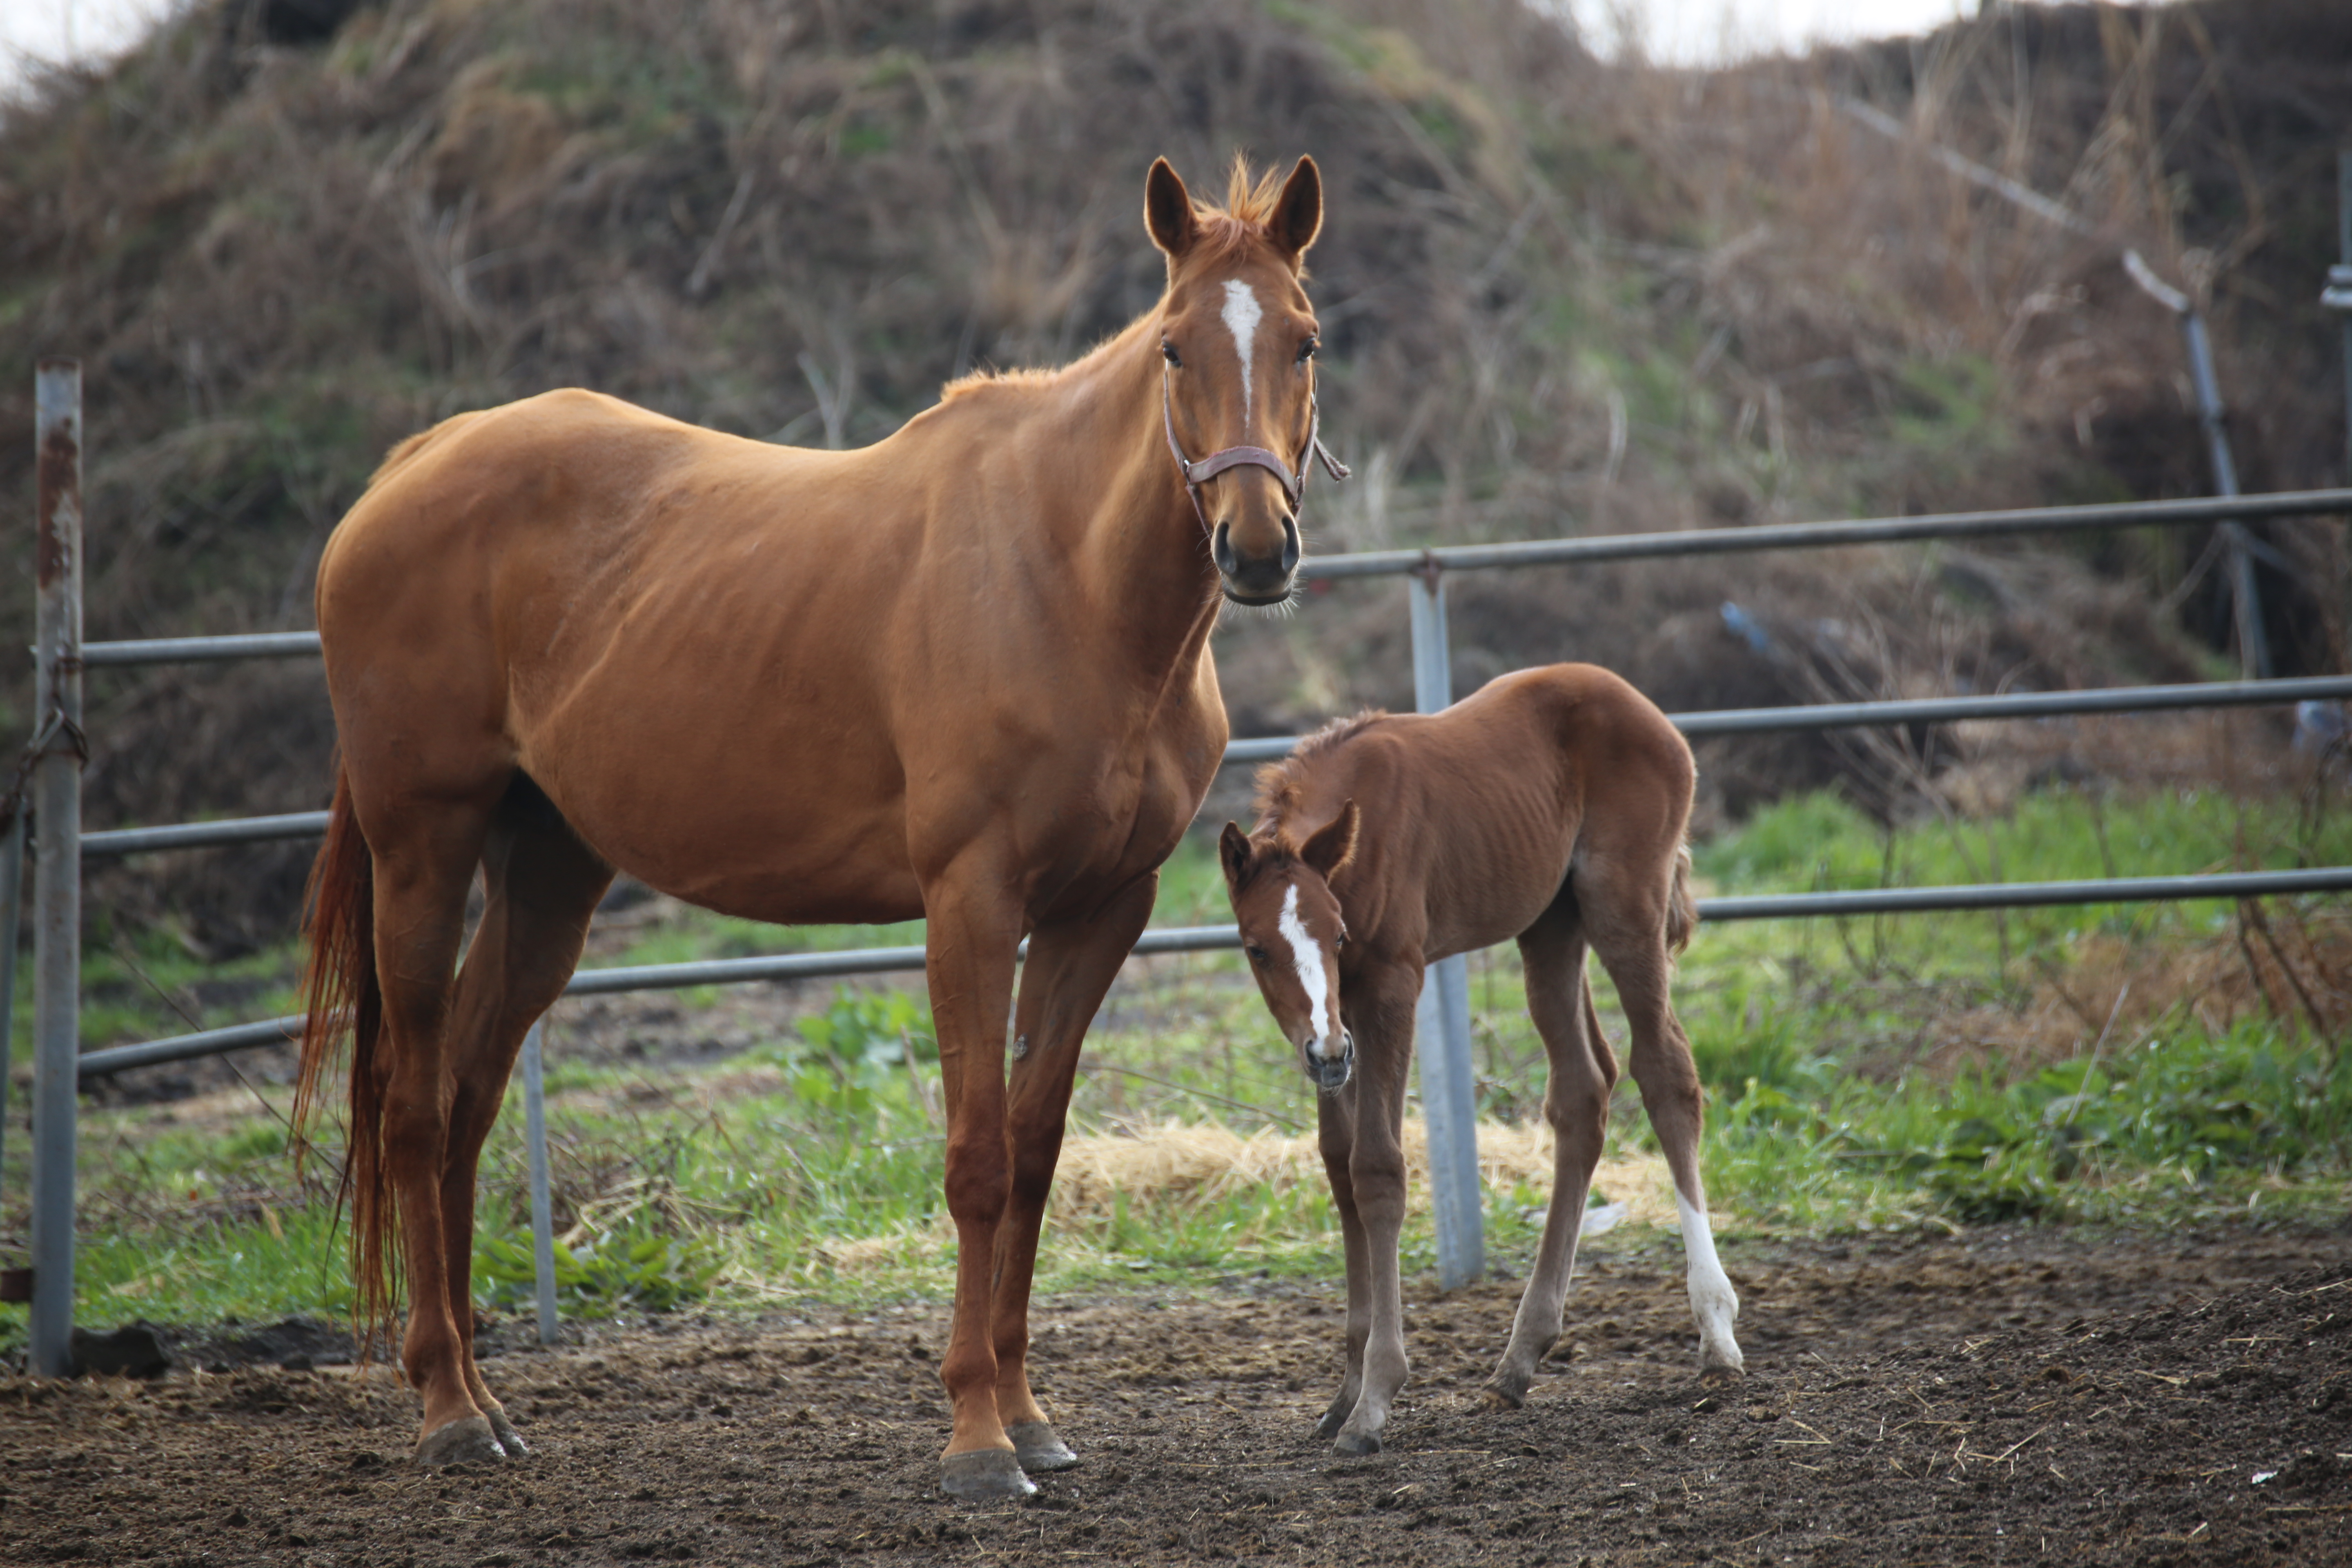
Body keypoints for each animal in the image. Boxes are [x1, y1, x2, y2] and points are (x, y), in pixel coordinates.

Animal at [298, 156, 1345, 1495]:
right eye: (1173, 347)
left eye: (1304, 339)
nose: (1255, 547)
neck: (1065, 575)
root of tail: (411, 465)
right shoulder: (970, 902)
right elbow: (975, 1158)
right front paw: (975, 1436)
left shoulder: (1101, 909)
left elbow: (1034, 1149)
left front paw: (1030, 1416)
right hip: (422, 850)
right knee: (415, 1110)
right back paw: (445, 1411)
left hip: (547, 874)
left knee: (469, 1106)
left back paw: (484, 1395)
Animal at [1214, 668, 1750, 1457]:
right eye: (1256, 949)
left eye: (1336, 936)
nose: (1328, 1053)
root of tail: (1644, 707)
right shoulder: (1342, 1018)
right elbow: (1340, 1166)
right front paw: (1344, 1393)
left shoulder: (1392, 983)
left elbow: (1378, 1171)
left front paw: (1375, 1398)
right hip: (1551, 925)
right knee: (1583, 1094)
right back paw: (1519, 1360)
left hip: (1624, 903)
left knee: (1666, 1073)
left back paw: (1716, 1335)